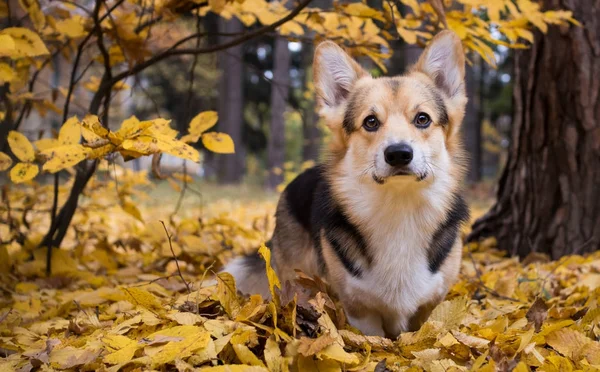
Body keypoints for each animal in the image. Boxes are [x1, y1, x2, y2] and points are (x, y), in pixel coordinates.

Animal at [224, 31, 468, 340]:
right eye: (371, 122)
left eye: (422, 119)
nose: (399, 153)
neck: (398, 208)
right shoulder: (361, 311)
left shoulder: (429, 305)